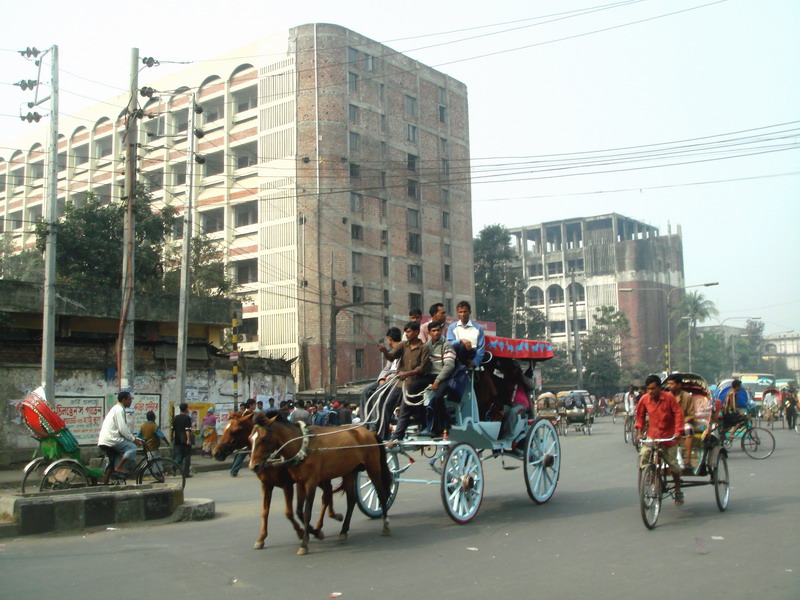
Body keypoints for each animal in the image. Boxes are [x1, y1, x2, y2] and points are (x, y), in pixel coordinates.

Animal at [212, 412, 340, 548]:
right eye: (224, 429)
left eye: (234, 431)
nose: (216, 453)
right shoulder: (266, 484)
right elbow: (264, 511)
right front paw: (261, 538)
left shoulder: (287, 484)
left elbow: (289, 513)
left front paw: (302, 532)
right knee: (328, 492)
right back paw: (331, 517)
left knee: (326, 494)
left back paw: (324, 523)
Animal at [247, 412, 390, 556]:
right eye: (250, 439)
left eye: (263, 439)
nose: (254, 466)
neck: (302, 445)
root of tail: (370, 432)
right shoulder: (299, 483)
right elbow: (298, 511)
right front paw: (315, 532)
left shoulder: (310, 482)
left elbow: (306, 513)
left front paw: (304, 544)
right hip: (349, 472)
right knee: (351, 499)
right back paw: (343, 530)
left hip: (373, 468)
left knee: (381, 494)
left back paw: (385, 526)